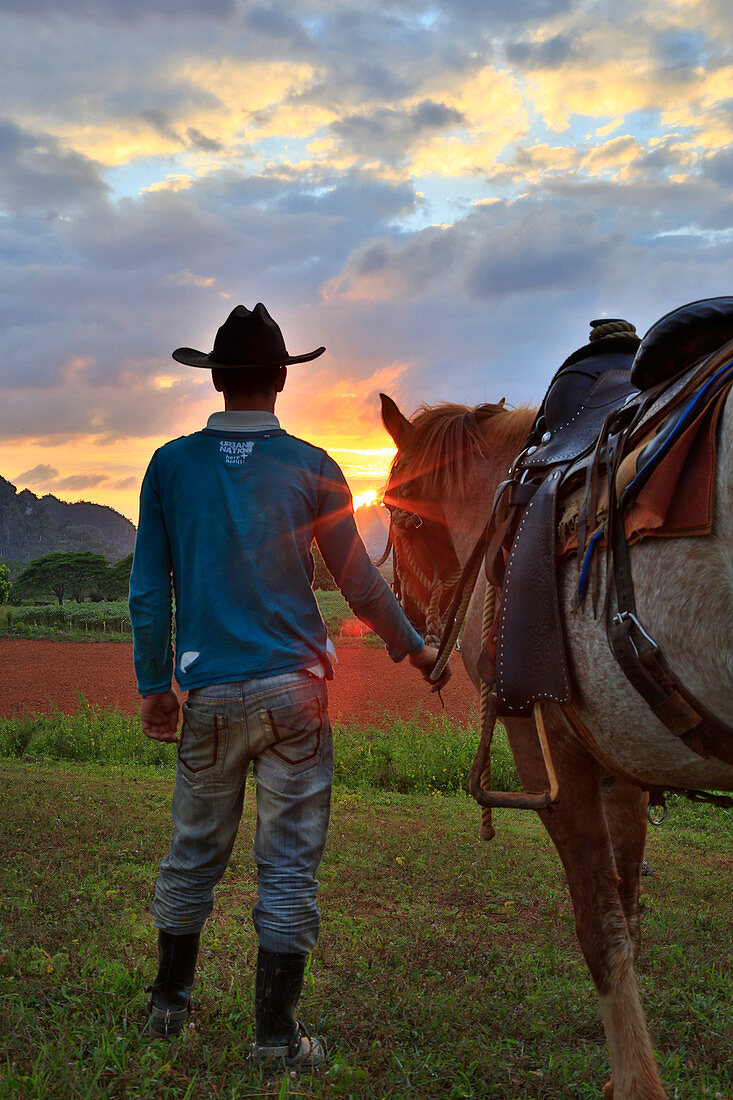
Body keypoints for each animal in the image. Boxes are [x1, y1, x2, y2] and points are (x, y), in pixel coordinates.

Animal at [376, 367, 730, 1091]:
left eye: (400, 516)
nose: (408, 632)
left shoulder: (551, 758)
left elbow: (601, 930)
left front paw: (634, 1083)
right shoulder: (620, 763)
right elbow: (628, 905)